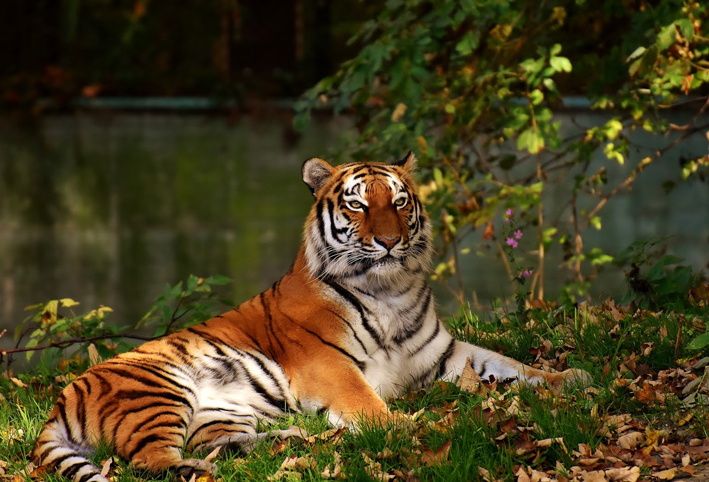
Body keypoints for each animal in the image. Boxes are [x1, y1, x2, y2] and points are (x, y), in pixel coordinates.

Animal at [33, 153, 588, 482]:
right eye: (358, 205)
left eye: (399, 201)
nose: (389, 241)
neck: (391, 291)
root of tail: (61, 398)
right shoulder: (328, 364)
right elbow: (366, 403)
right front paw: (406, 426)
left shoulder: (444, 353)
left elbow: (509, 364)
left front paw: (571, 377)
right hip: (159, 389)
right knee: (150, 461)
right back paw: (195, 468)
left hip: (221, 409)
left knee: (213, 441)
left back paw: (290, 440)